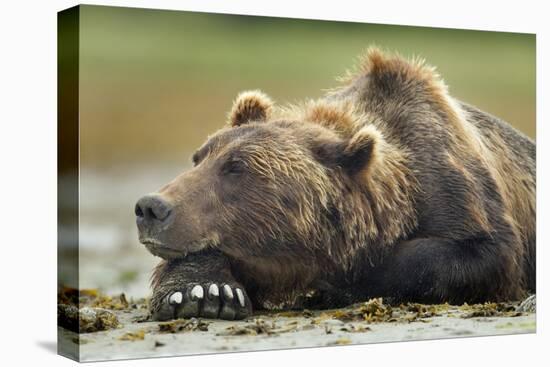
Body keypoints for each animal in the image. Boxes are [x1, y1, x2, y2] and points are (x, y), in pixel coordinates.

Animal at [136, 47, 536, 320]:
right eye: (199, 157)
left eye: (237, 168)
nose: (151, 207)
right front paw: (205, 292)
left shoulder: (455, 186)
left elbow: (480, 253)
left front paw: (340, 282)